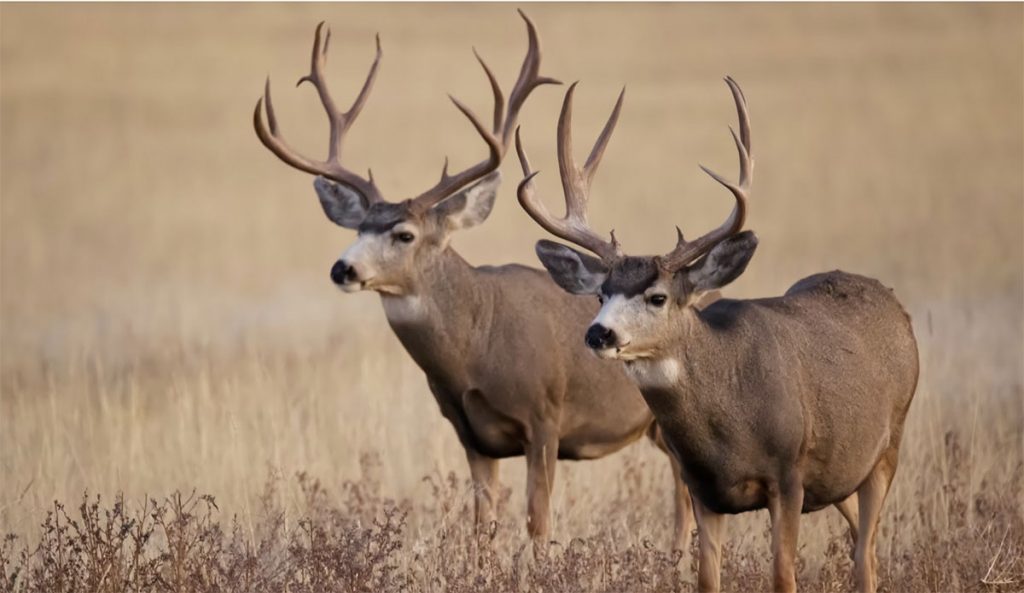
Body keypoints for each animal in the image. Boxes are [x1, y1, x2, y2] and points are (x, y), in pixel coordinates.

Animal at [252, 12, 695, 552]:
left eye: (404, 233)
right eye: (357, 228)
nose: (344, 268)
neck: (476, 345)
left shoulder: (545, 418)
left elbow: (538, 523)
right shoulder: (471, 434)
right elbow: (482, 528)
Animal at [514, 77, 918, 592]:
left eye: (658, 297)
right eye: (601, 292)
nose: (598, 334)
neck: (728, 424)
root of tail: (895, 305)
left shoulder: (789, 476)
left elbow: (783, 576)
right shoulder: (702, 488)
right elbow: (706, 577)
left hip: (889, 445)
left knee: (865, 555)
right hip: (842, 471)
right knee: (863, 549)